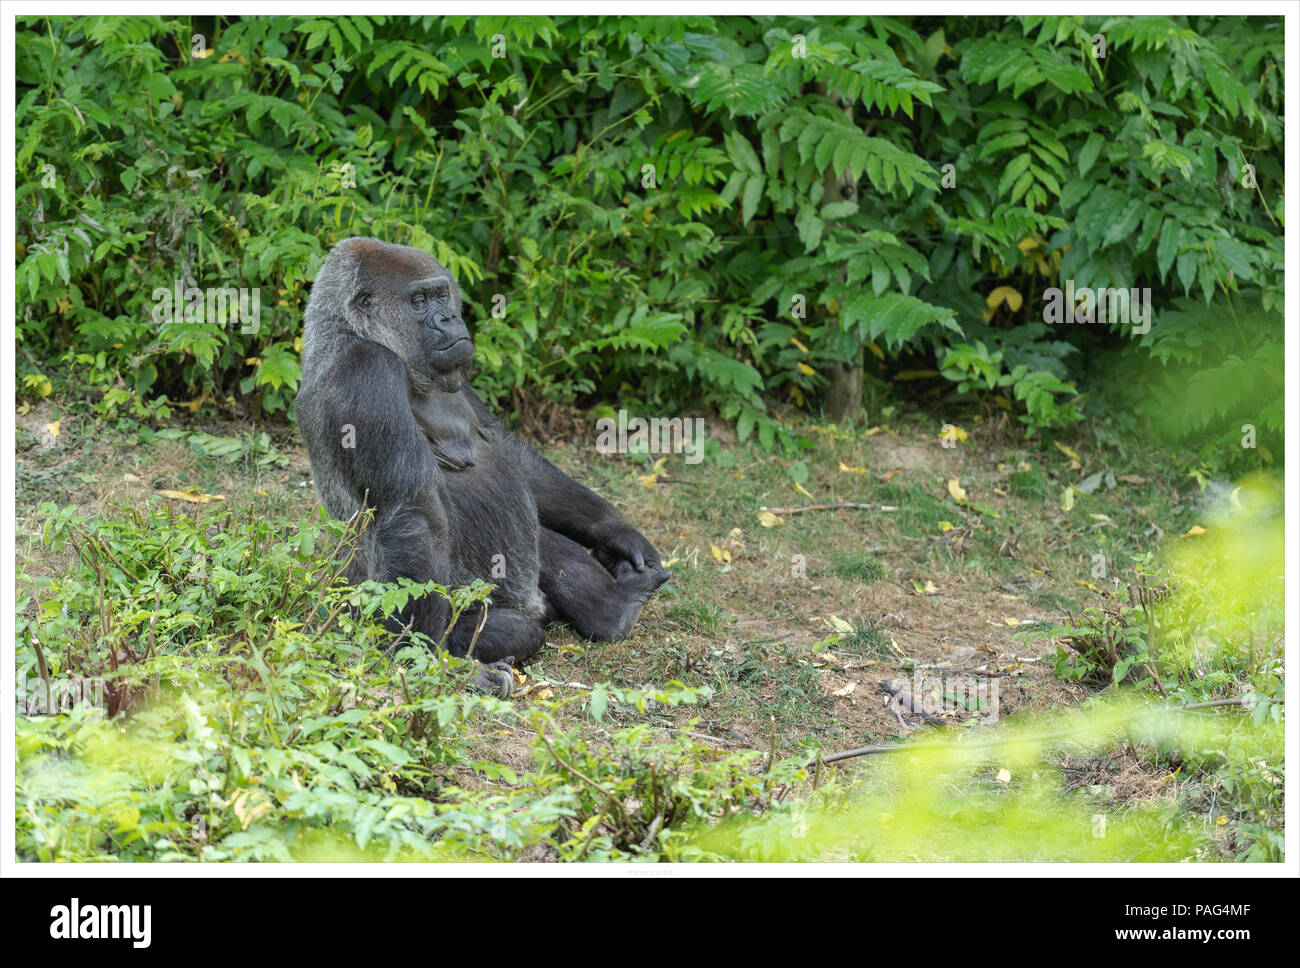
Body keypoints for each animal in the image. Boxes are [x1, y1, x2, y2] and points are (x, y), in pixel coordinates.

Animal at [295, 238, 671, 695]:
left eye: (442, 295)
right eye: (418, 301)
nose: (450, 318)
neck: (348, 330)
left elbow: (507, 451)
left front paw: (617, 532)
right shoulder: (367, 370)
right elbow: (412, 512)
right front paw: (430, 662)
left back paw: (615, 608)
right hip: (356, 616)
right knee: (518, 628)